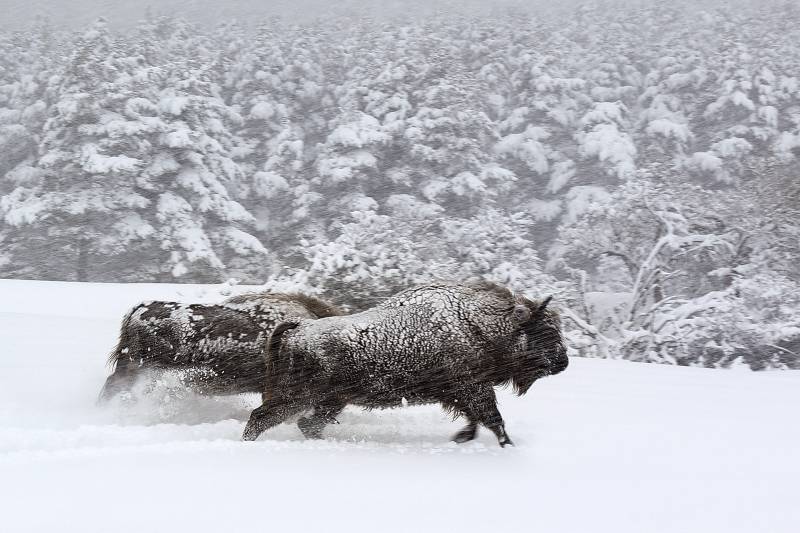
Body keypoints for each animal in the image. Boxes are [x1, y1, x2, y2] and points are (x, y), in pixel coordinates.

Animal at [242, 280, 568, 446]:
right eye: (545, 330)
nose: (563, 362)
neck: (473, 324)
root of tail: (298, 328)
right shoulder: (473, 388)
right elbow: (492, 418)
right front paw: (506, 445)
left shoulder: (463, 392)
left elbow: (477, 418)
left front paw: (462, 438)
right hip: (298, 396)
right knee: (262, 418)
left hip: (331, 400)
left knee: (307, 424)